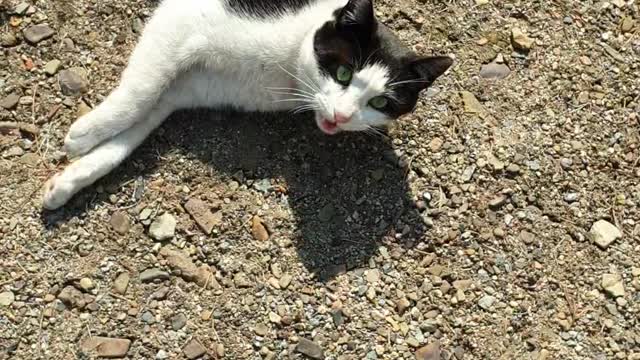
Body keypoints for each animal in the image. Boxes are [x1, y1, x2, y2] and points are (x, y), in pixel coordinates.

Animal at [42, 0, 452, 211]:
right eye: (343, 72)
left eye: (380, 102)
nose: (341, 116)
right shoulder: (178, 20)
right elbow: (140, 92)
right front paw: (83, 135)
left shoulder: (183, 90)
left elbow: (131, 134)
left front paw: (70, 180)